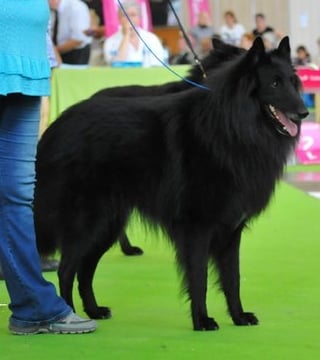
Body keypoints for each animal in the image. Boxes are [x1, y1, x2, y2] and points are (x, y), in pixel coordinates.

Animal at [34, 35, 308, 330]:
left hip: (106, 225)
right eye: (274, 83)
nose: (304, 112)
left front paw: (238, 316)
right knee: (66, 270)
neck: (232, 128)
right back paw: (71, 317)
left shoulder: (231, 230)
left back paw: (94, 311)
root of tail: (56, 127)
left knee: (85, 270)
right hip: (88, 222)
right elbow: (199, 277)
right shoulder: (198, 228)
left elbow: (232, 279)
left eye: (293, 81)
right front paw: (202, 320)